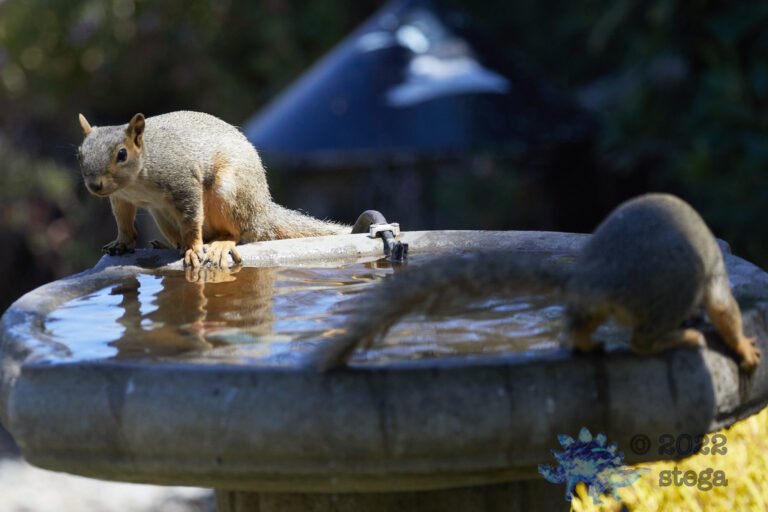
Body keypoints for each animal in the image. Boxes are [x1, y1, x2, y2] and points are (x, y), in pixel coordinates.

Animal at [77, 111, 384, 267]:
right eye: (79, 153)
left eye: (121, 154)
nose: (94, 185)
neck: (136, 181)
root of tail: (262, 209)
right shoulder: (121, 198)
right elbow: (123, 220)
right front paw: (122, 242)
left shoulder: (183, 182)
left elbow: (192, 220)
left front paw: (193, 249)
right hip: (162, 216)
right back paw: (169, 244)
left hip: (228, 193)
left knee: (243, 234)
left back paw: (218, 245)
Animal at [308, 193, 762, 372]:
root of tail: (597, 275)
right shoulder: (715, 282)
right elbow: (725, 311)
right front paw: (745, 349)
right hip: (668, 292)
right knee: (642, 341)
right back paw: (681, 339)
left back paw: (589, 345)